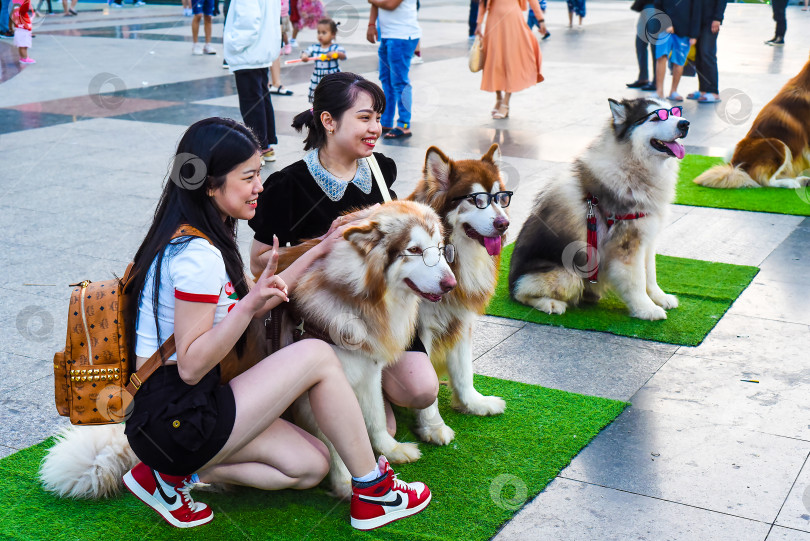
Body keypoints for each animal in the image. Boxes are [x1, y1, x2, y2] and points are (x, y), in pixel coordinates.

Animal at [408, 142, 508, 442]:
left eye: (500, 197)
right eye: (477, 200)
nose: (504, 224)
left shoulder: (461, 320)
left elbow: (464, 370)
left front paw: (473, 403)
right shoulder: (420, 330)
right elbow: (425, 381)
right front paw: (433, 427)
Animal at [508, 97, 684, 318]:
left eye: (676, 112)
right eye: (655, 117)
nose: (685, 124)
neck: (631, 168)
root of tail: (510, 281)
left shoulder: (647, 237)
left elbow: (650, 274)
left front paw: (660, 298)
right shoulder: (626, 245)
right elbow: (637, 280)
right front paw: (646, 309)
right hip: (568, 274)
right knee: (521, 292)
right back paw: (550, 303)